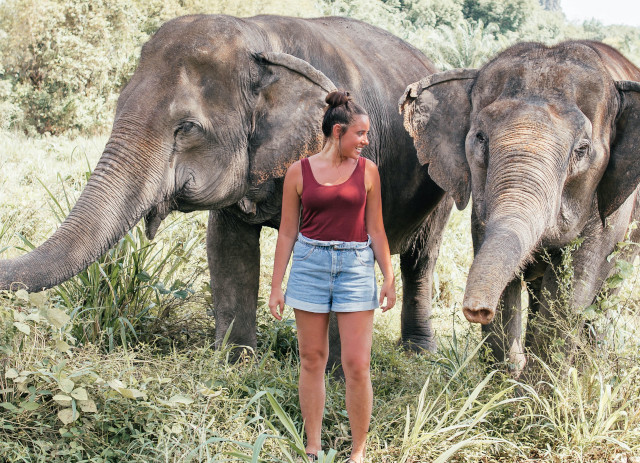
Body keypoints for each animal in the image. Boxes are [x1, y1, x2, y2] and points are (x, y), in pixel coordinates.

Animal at [0, 14, 456, 362]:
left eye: (186, 128)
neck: (262, 41)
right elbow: (227, 249)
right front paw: (235, 362)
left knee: (421, 261)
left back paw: (419, 352)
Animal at [400, 39, 640, 374]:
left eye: (582, 150)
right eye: (480, 138)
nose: (476, 310)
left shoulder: (612, 208)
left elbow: (573, 287)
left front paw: (538, 385)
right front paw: (506, 380)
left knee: (606, 292)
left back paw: (587, 365)